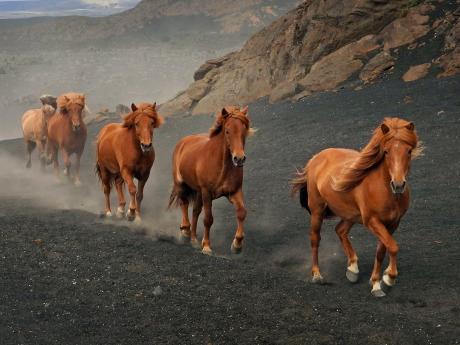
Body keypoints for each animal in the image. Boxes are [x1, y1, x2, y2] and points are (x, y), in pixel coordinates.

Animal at [168, 106, 255, 254]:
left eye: (244, 130)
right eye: (227, 131)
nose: (239, 158)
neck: (221, 165)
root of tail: (184, 141)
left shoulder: (234, 191)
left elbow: (241, 213)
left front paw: (237, 245)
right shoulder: (207, 193)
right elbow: (208, 219)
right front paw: (207, 246)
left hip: (198, 192)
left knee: (195, 211)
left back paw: (193, 239)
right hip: (182, 184)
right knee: (184, 203)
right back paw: (185, 232)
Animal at [292, 117, 422, 296]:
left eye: (409, 151)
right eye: (386, 151)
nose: (398, 185)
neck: (384, 191)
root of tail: (316, 158)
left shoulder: (393, 223)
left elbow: (382, 250)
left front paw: (376, 282)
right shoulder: (372, 221)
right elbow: (393, 247)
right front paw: (388, 279)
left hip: (350, 214)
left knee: (340, 230)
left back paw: (353, 268)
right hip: (317, 212)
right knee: (315, 239)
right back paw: (317, 274)